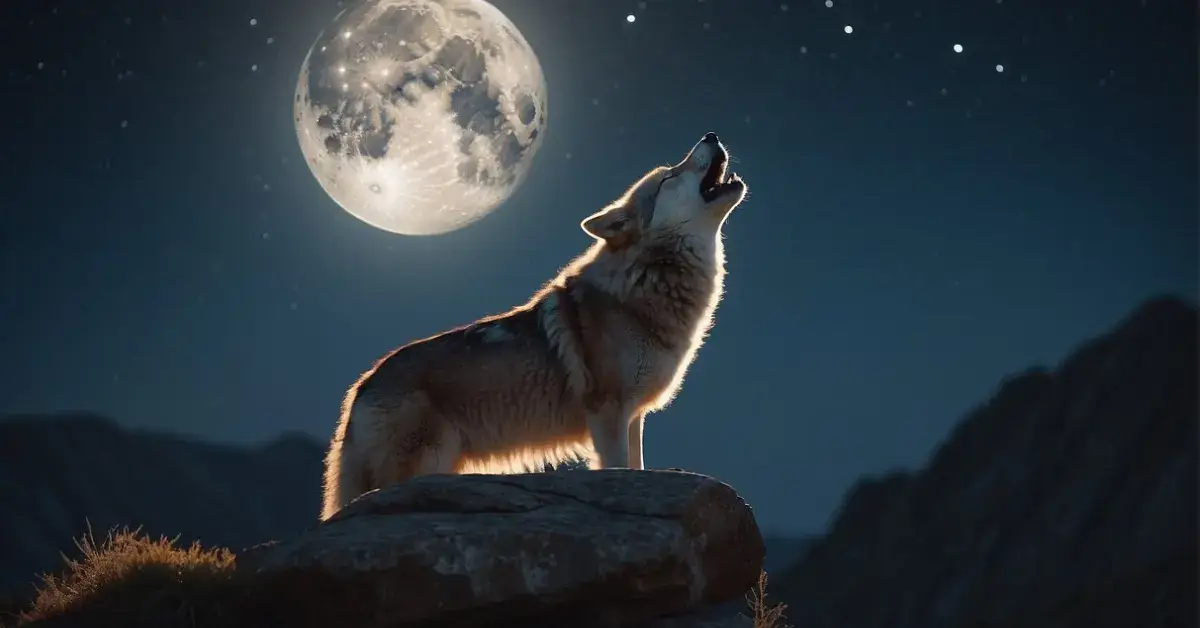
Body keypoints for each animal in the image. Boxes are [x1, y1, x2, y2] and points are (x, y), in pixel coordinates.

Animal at [320, 132, 748, 520]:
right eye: (669, 177)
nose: (711, 135)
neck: (646, 284)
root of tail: (360, 389)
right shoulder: (607, 414)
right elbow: (616, 468)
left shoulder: (633, 417)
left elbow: (636, 468)